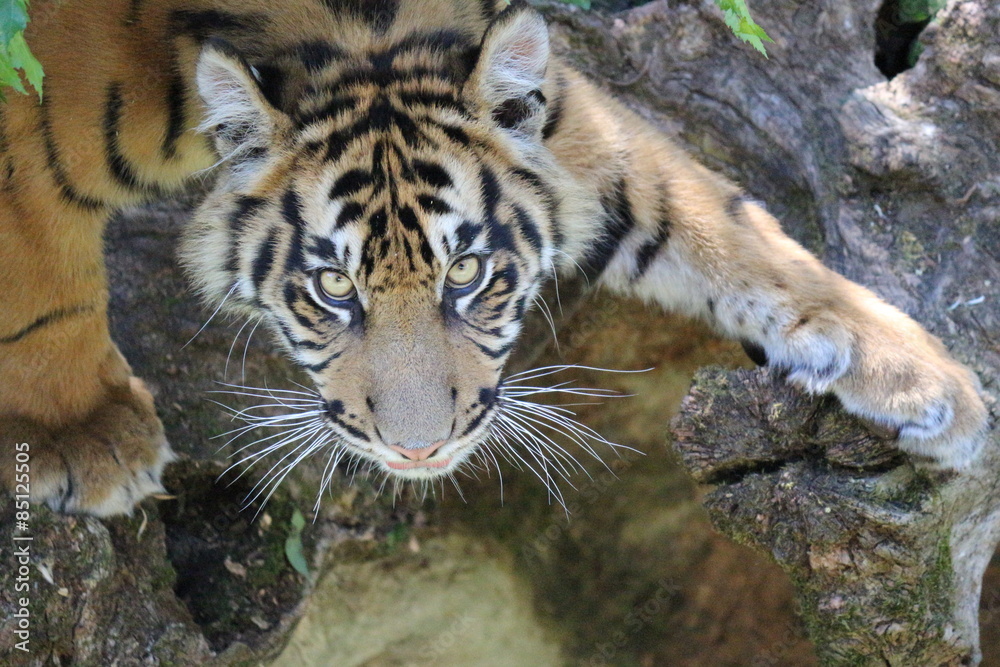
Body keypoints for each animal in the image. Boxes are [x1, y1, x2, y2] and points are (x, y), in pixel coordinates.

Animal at [0, 0, 988, 517]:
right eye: (332, 286)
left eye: (466, 274)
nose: (418, 450)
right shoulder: (30, 114)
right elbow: (38, 282)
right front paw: (84, 433)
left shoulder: (560, 122)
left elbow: (712, 211)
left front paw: (927, 382)